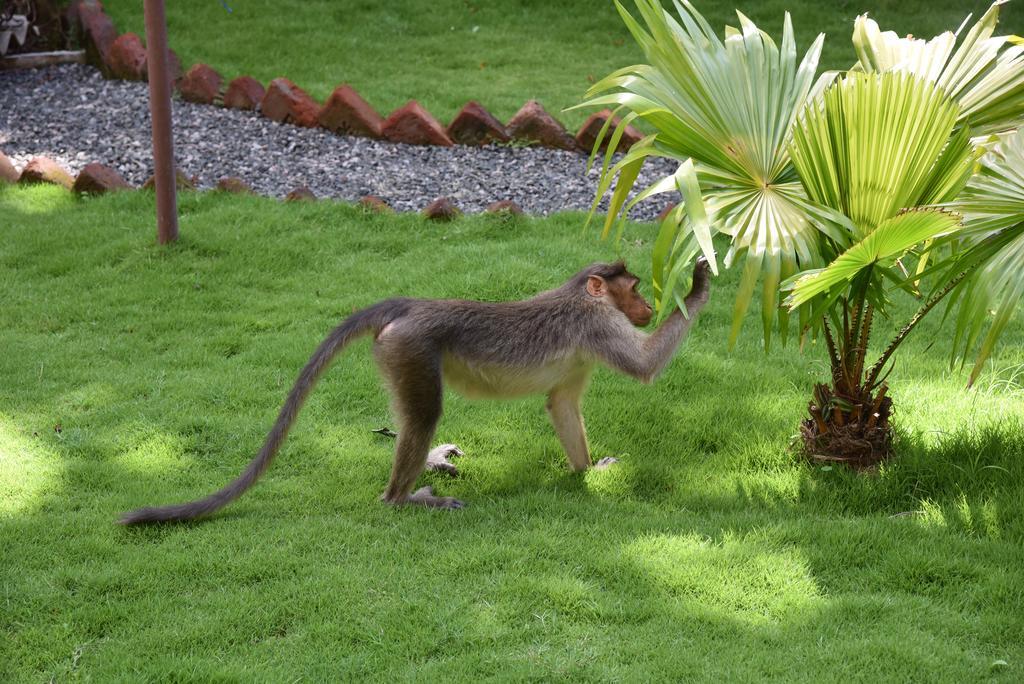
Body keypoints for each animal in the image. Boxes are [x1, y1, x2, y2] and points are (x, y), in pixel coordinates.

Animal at [117, 255, 712, 524]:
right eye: (633, 289)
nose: (647, 306)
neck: (582, 296)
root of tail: (411, 306)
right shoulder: (598, 325)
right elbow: (645, 367)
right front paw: (702, 280)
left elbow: (561, 403)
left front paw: (587, 471)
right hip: (410, 350)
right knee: (423, 416)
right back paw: (404, 499)